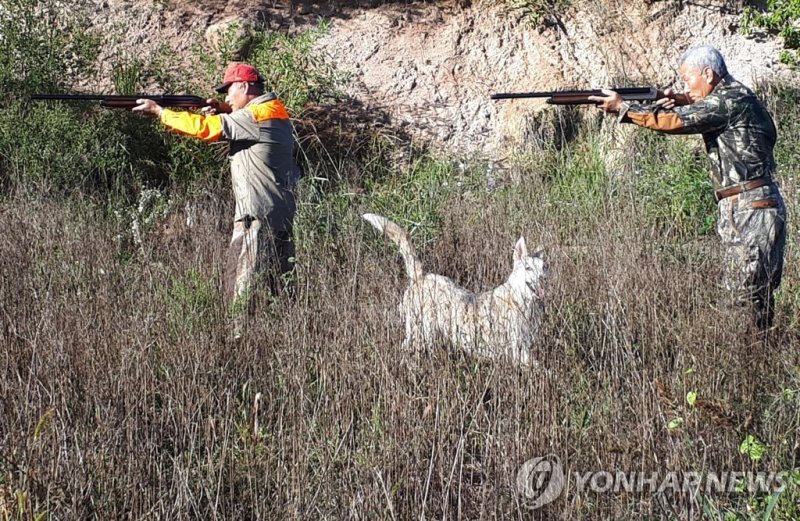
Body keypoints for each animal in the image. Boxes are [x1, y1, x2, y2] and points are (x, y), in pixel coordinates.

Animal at [360, 213, 544, 368]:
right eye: (528, 268)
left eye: (544, 268)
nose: (542, 278)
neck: (520, 300)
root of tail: (421, 276)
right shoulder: (519, 351)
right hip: (419, 332)